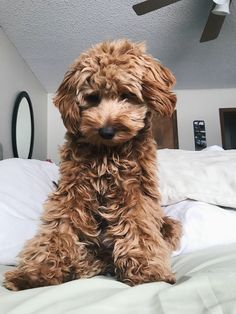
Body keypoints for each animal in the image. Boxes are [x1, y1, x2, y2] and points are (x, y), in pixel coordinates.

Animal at [4, 40, 182, 290]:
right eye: (93, 98)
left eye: (127, 95)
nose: (106, 131)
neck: (107, 153)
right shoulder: (73, 190)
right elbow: (59, 228)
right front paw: (37, 272)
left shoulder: (134, 190)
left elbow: (138, 226)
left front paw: (147, 272)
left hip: (170, 224)